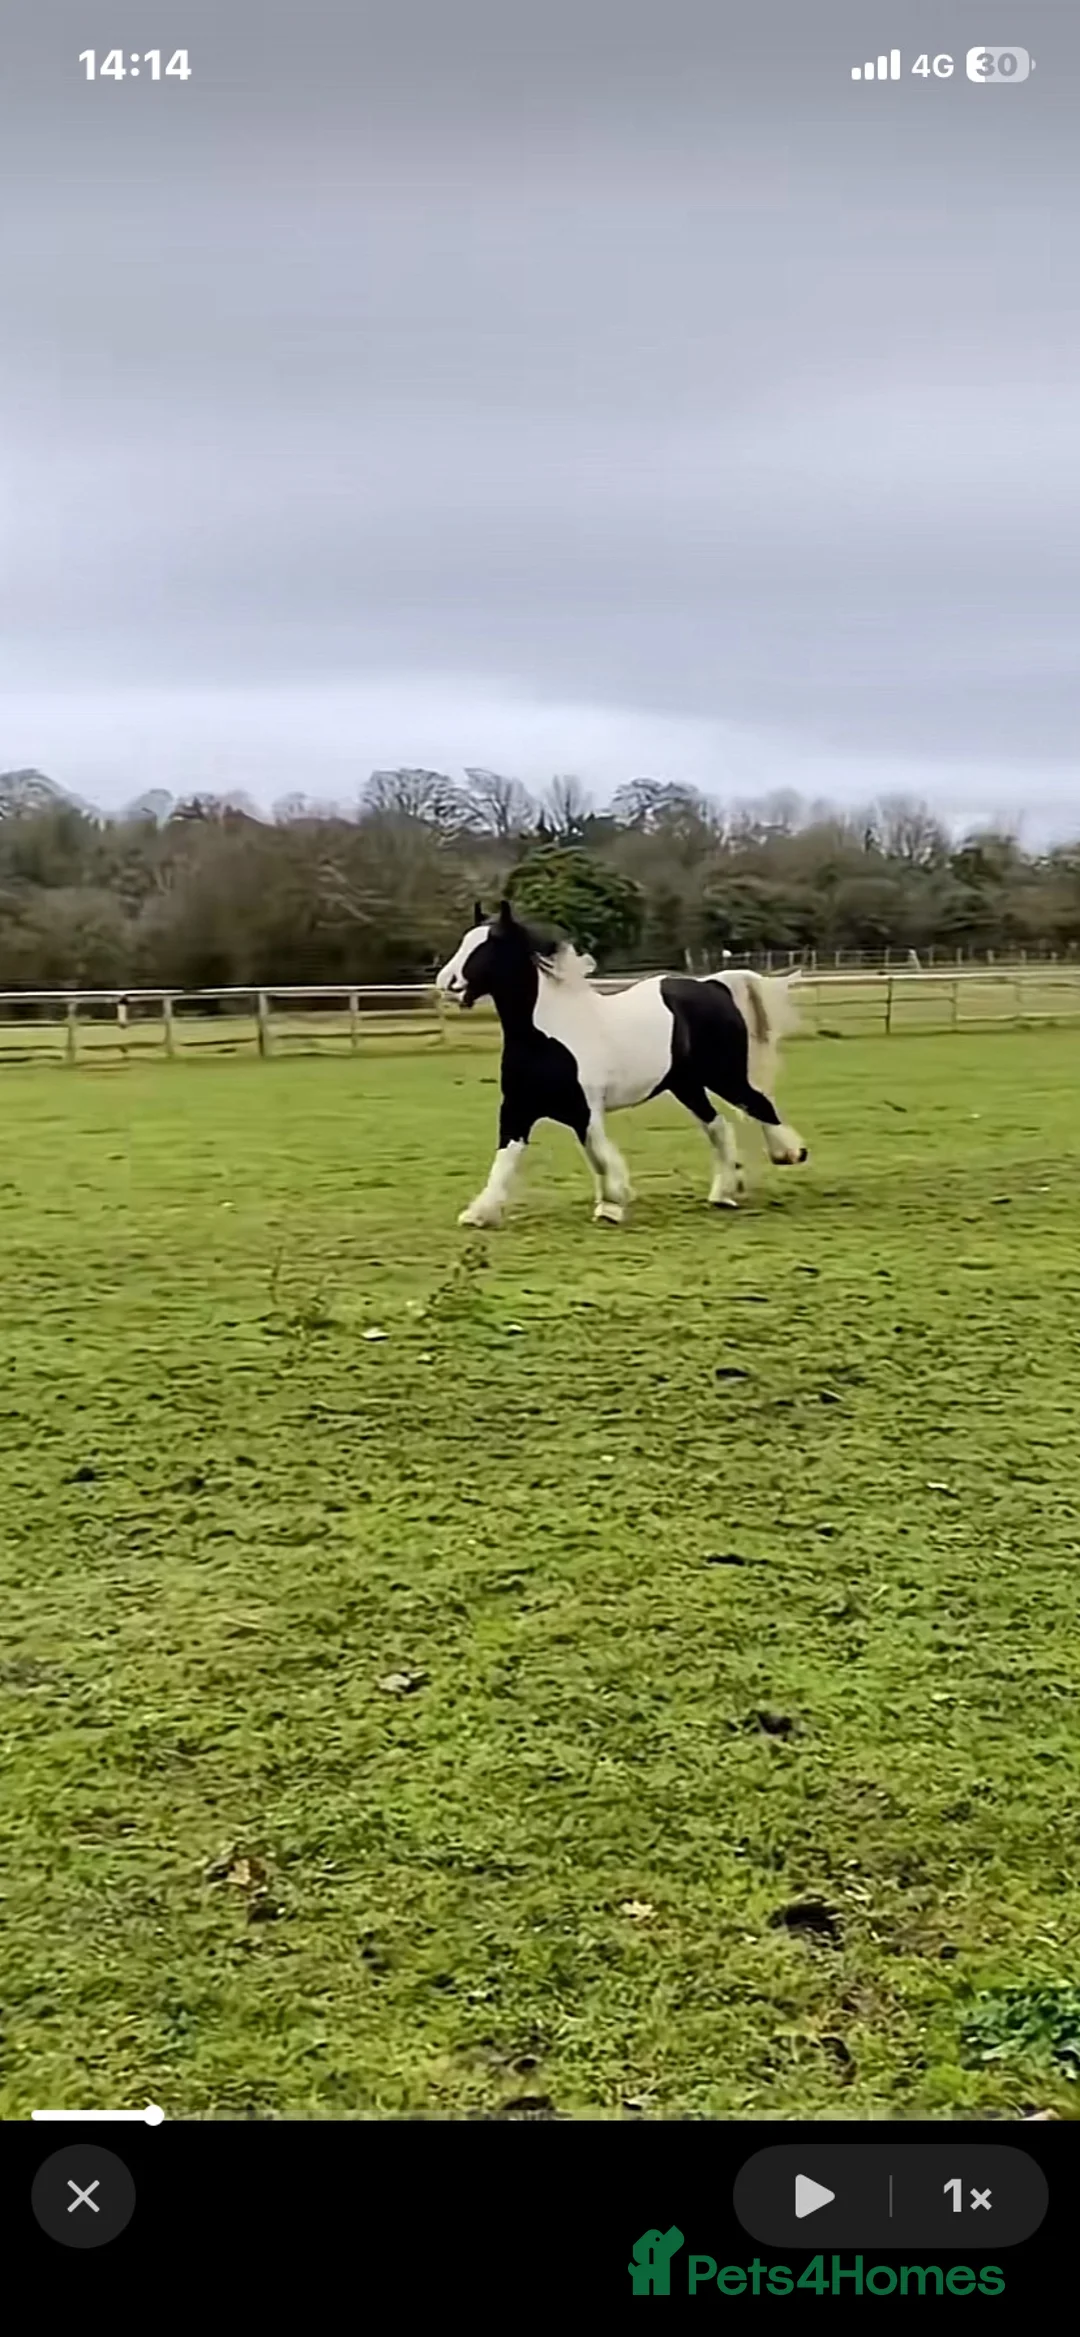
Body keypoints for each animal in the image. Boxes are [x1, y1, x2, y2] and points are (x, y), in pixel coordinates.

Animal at [435, 900, 808, 1228]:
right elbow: (505, 1160)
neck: (546, 1034)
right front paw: (478, 1214)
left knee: (758, 1103)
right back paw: (723, 1194)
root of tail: (712, 985)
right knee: (718, 1126)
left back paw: (790, 1154)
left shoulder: (584, 1110)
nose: (448, 983)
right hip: (686, 1084)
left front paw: (612, 1206)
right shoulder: (518, 1109)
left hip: (723, 1074)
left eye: (491, 944)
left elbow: (599, 1153)